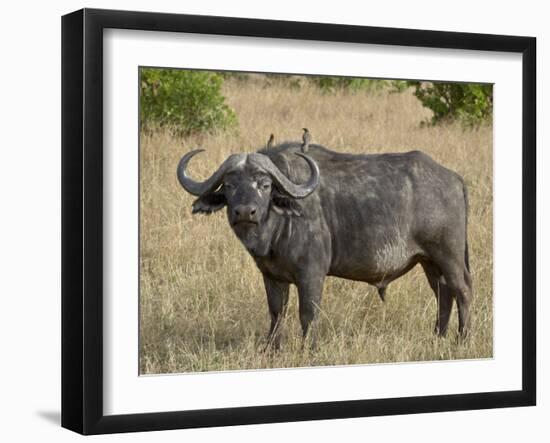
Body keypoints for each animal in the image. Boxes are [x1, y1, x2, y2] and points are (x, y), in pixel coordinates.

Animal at [178, 140, 474, 348]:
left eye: (264, 185)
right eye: (229, 185)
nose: (244, 212)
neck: (276, 230)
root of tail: (454, 178)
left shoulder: (312, 274)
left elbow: (308, 314)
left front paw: (308, 349)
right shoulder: (272, 276)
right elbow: (276, 313)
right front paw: (271, 349)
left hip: (449, 256)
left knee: (462, 291)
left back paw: (462, 340)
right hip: (429, 261)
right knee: (443, 294)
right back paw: (438, 337)